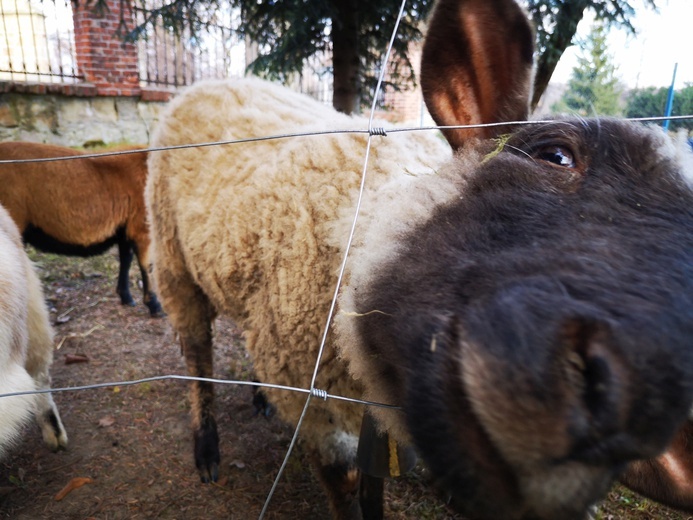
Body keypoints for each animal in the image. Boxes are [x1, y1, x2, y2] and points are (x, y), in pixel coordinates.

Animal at [0, 140, 164, 316]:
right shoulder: (141, 227)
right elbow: (148, 266)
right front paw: (155, 306)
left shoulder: (124, 228)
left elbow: (126, 260)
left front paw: (126, 297)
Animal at [147, 1, 693, 520]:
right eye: (556, 155)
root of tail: (220, 81)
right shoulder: (311, 401)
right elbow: (342, 483)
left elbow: (373, 485)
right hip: (172, 261)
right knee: (196, 355)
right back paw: (206, 449)